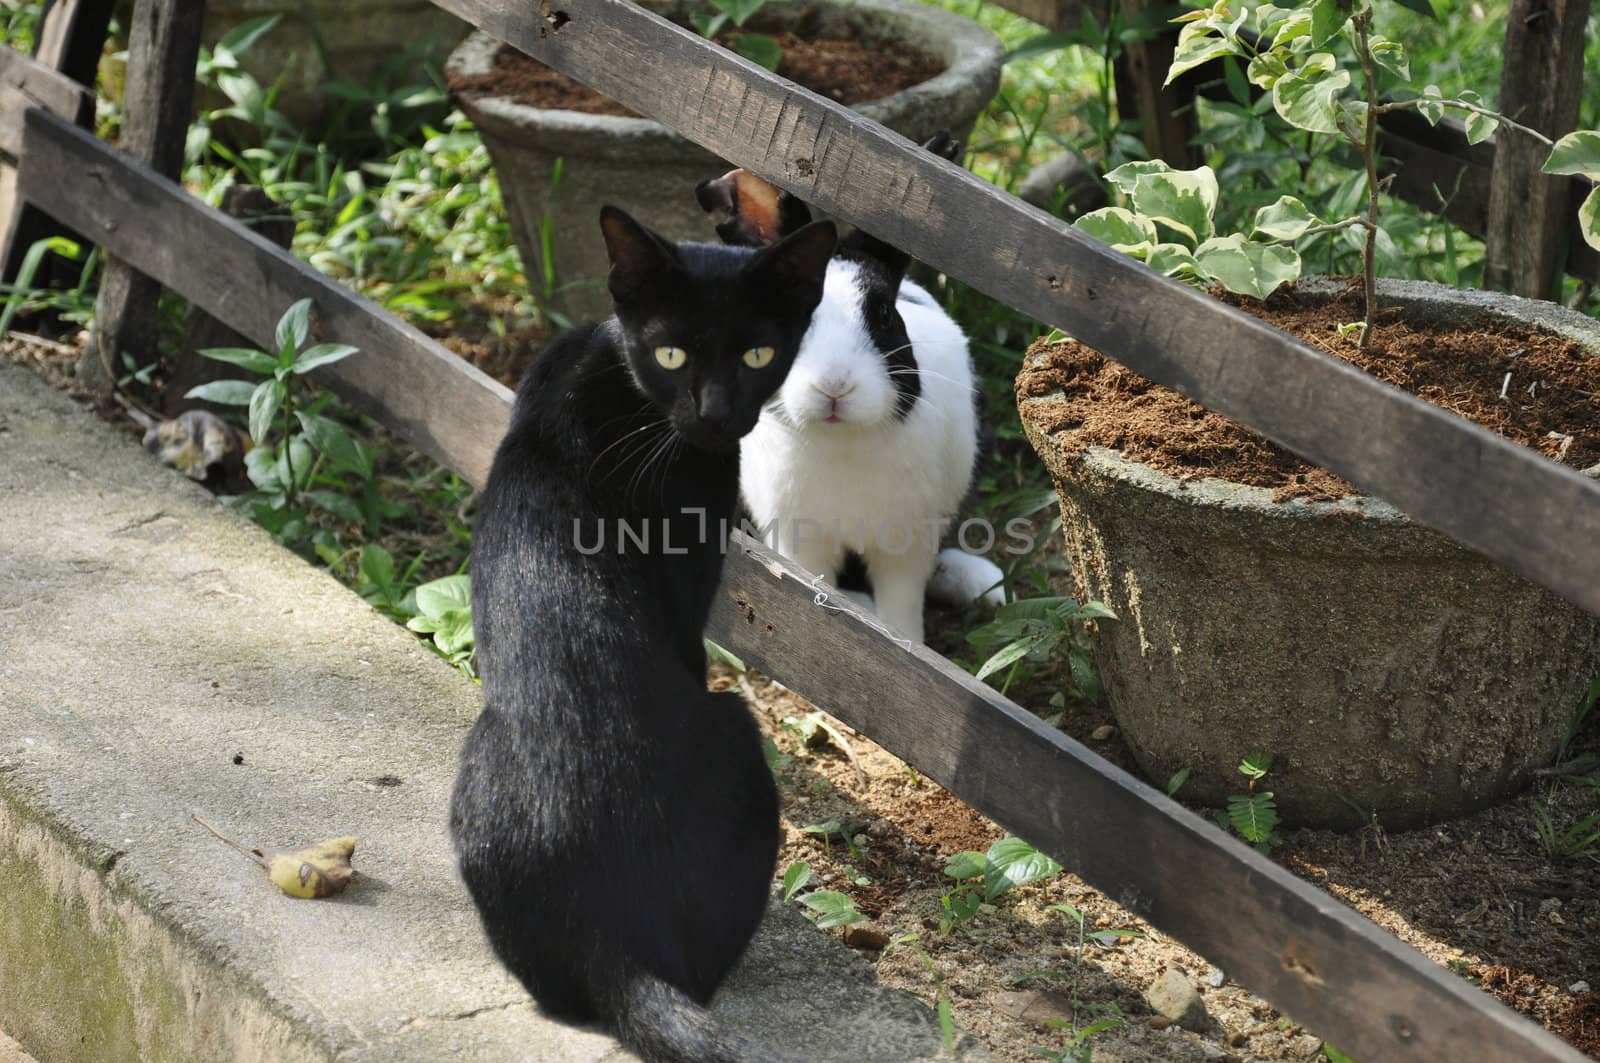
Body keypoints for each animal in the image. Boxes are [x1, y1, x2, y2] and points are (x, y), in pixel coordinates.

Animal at [444, 208, 832, 1063]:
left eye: (758, 354)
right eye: (673, 353)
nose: (716, 414)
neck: (616, 371)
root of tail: (615, 941)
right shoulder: (689, 592)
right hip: (740, 731)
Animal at [697, 137, 998, 643]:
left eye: (884, 314)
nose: (834, 386)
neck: (839, 441)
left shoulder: (906, 546)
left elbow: (901, 613)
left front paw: (904, 643)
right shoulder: (797, 539)